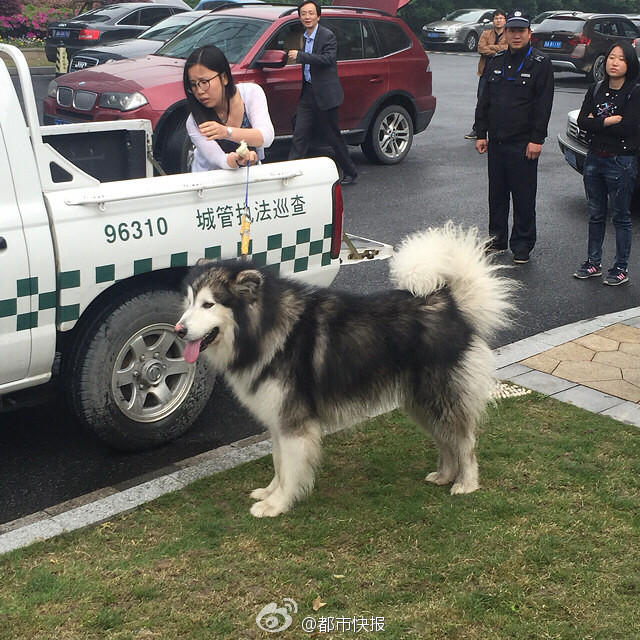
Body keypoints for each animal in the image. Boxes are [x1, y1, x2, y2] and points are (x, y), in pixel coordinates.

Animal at [176, 224, 516, 516]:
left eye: (208, 305)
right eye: (189, 302)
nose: (179, 330)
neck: (264, 329)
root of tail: (448, 301)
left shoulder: (293, 421)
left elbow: (290, 467)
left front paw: (278, 503)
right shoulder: (278, 419)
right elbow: (278, 462)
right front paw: (270, 492)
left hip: (440, 395)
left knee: (464, 440)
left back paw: (466, 483)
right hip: (419, 402)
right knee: (445, 440)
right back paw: (445, 475)